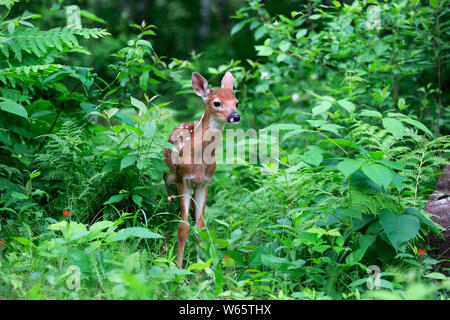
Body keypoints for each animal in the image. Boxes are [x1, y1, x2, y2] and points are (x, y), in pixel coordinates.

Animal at [163, 72, 241, 268]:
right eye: (217, 103)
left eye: (236, 102)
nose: (235, 116)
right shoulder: (184, 179)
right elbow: (183, 227)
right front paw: (179, 268)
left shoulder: (204, 183)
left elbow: (200, 228)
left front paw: (202, 267)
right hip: (170, 180)